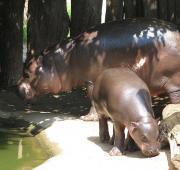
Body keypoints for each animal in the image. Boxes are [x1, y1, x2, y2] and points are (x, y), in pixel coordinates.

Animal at [17, 18, 180, 119]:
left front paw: (86, 118)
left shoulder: (91, 80)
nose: (16, 88)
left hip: (172, 82)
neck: (62, 60)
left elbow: (92, 98)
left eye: (27, 73)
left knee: (175, 98)